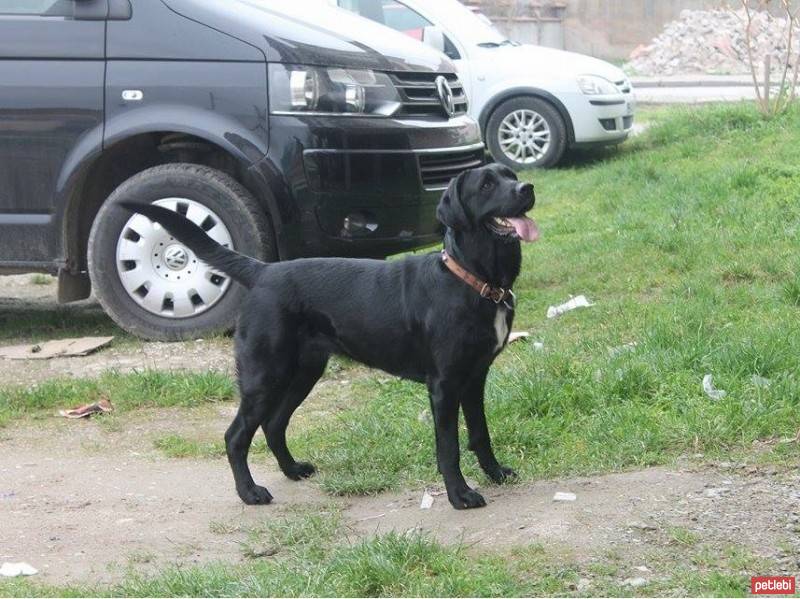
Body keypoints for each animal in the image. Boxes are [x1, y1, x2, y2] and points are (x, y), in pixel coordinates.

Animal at [123, 164, 536, 510]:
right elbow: (448, 447)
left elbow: (480, 433)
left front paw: (496, 473)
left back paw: (292, 470)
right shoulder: (445, 385)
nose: (527, 188)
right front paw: (460, 495)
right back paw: (250, 492)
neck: (475, 282)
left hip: (303, 371)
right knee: (236, 435)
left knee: (274, 425)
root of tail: (262, 271)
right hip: (264, 374)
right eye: (486, 185)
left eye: (510, 174)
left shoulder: (475, 377)